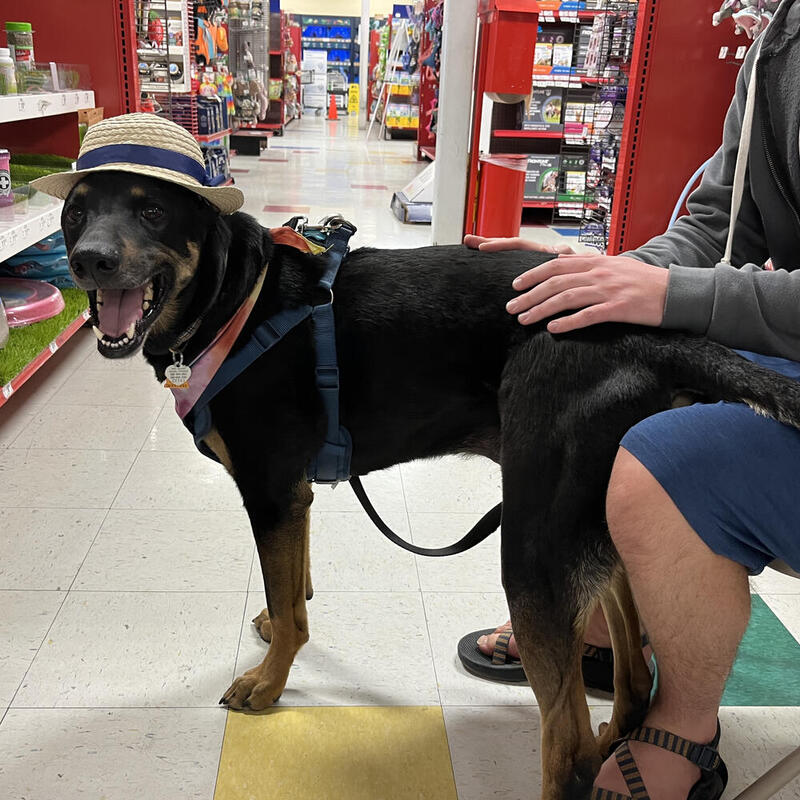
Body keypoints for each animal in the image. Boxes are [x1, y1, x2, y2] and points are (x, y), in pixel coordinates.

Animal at [62, 173, 800, 800]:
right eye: (75, 212)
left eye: (153, 212)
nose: (90, 261)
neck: (236, 296)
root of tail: (657, 332)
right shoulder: (294, 497)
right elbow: (292, 586)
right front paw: (277, 627)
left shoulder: (271, 491)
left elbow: (291, 604)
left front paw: (270, 683)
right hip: (597, 516)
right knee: (634, 680)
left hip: (535, 547)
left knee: (568, 749)